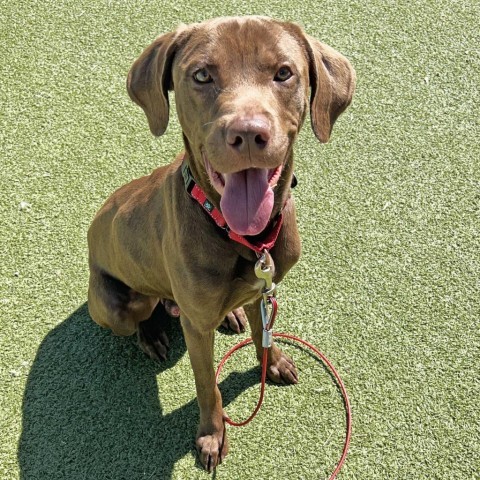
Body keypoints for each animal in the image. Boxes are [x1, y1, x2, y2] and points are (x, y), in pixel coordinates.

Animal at [88, 15, 354, 472]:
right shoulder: (197, 330)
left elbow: (266, 334)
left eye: (284, 72)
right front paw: (212, 436)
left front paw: (273, 363)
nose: (247, 134)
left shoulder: (264, 290)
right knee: (143, 313)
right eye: (201, 75)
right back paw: (151, 335)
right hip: (117, 305)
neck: (246, 240)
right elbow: (206, 384)